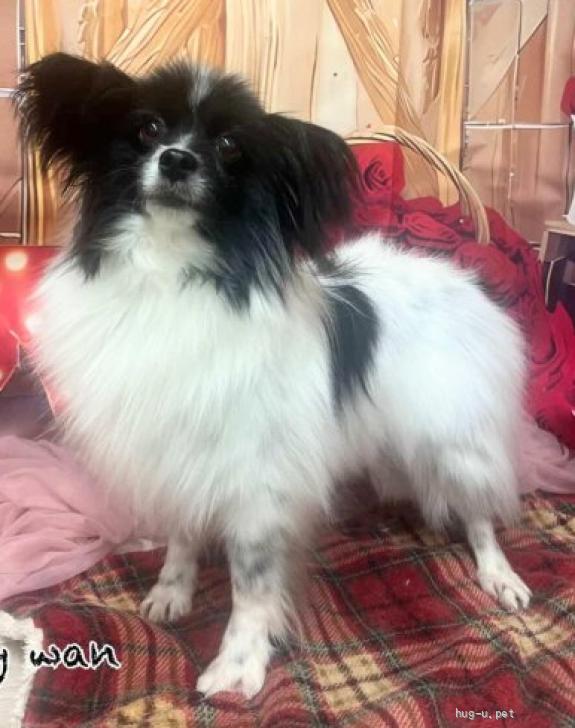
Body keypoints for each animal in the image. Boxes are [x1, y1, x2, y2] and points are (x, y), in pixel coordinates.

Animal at [16, 53, 531, 698]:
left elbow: (252, 582)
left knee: (481, 512)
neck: (172, 270)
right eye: (148, 129)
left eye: (230, 147)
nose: (177, 160)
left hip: (455, 440)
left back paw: (499, 575)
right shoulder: (178, 454)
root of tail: (468, 282)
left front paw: (238, 666)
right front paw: (171, 591)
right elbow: (183, 536)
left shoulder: (257, 483)